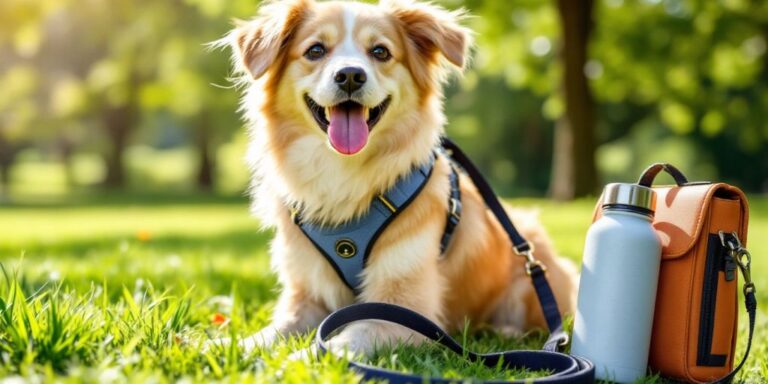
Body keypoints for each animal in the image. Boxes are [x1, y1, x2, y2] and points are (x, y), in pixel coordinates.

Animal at [214, 0, 576, 356]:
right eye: (315, 50)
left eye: (380, 52)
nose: (350, 75)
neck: (344, 173)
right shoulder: (306, 298)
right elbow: (268, 336)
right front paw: (220, 347)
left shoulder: (405, 311)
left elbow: (336, 343)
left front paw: (293, 360)